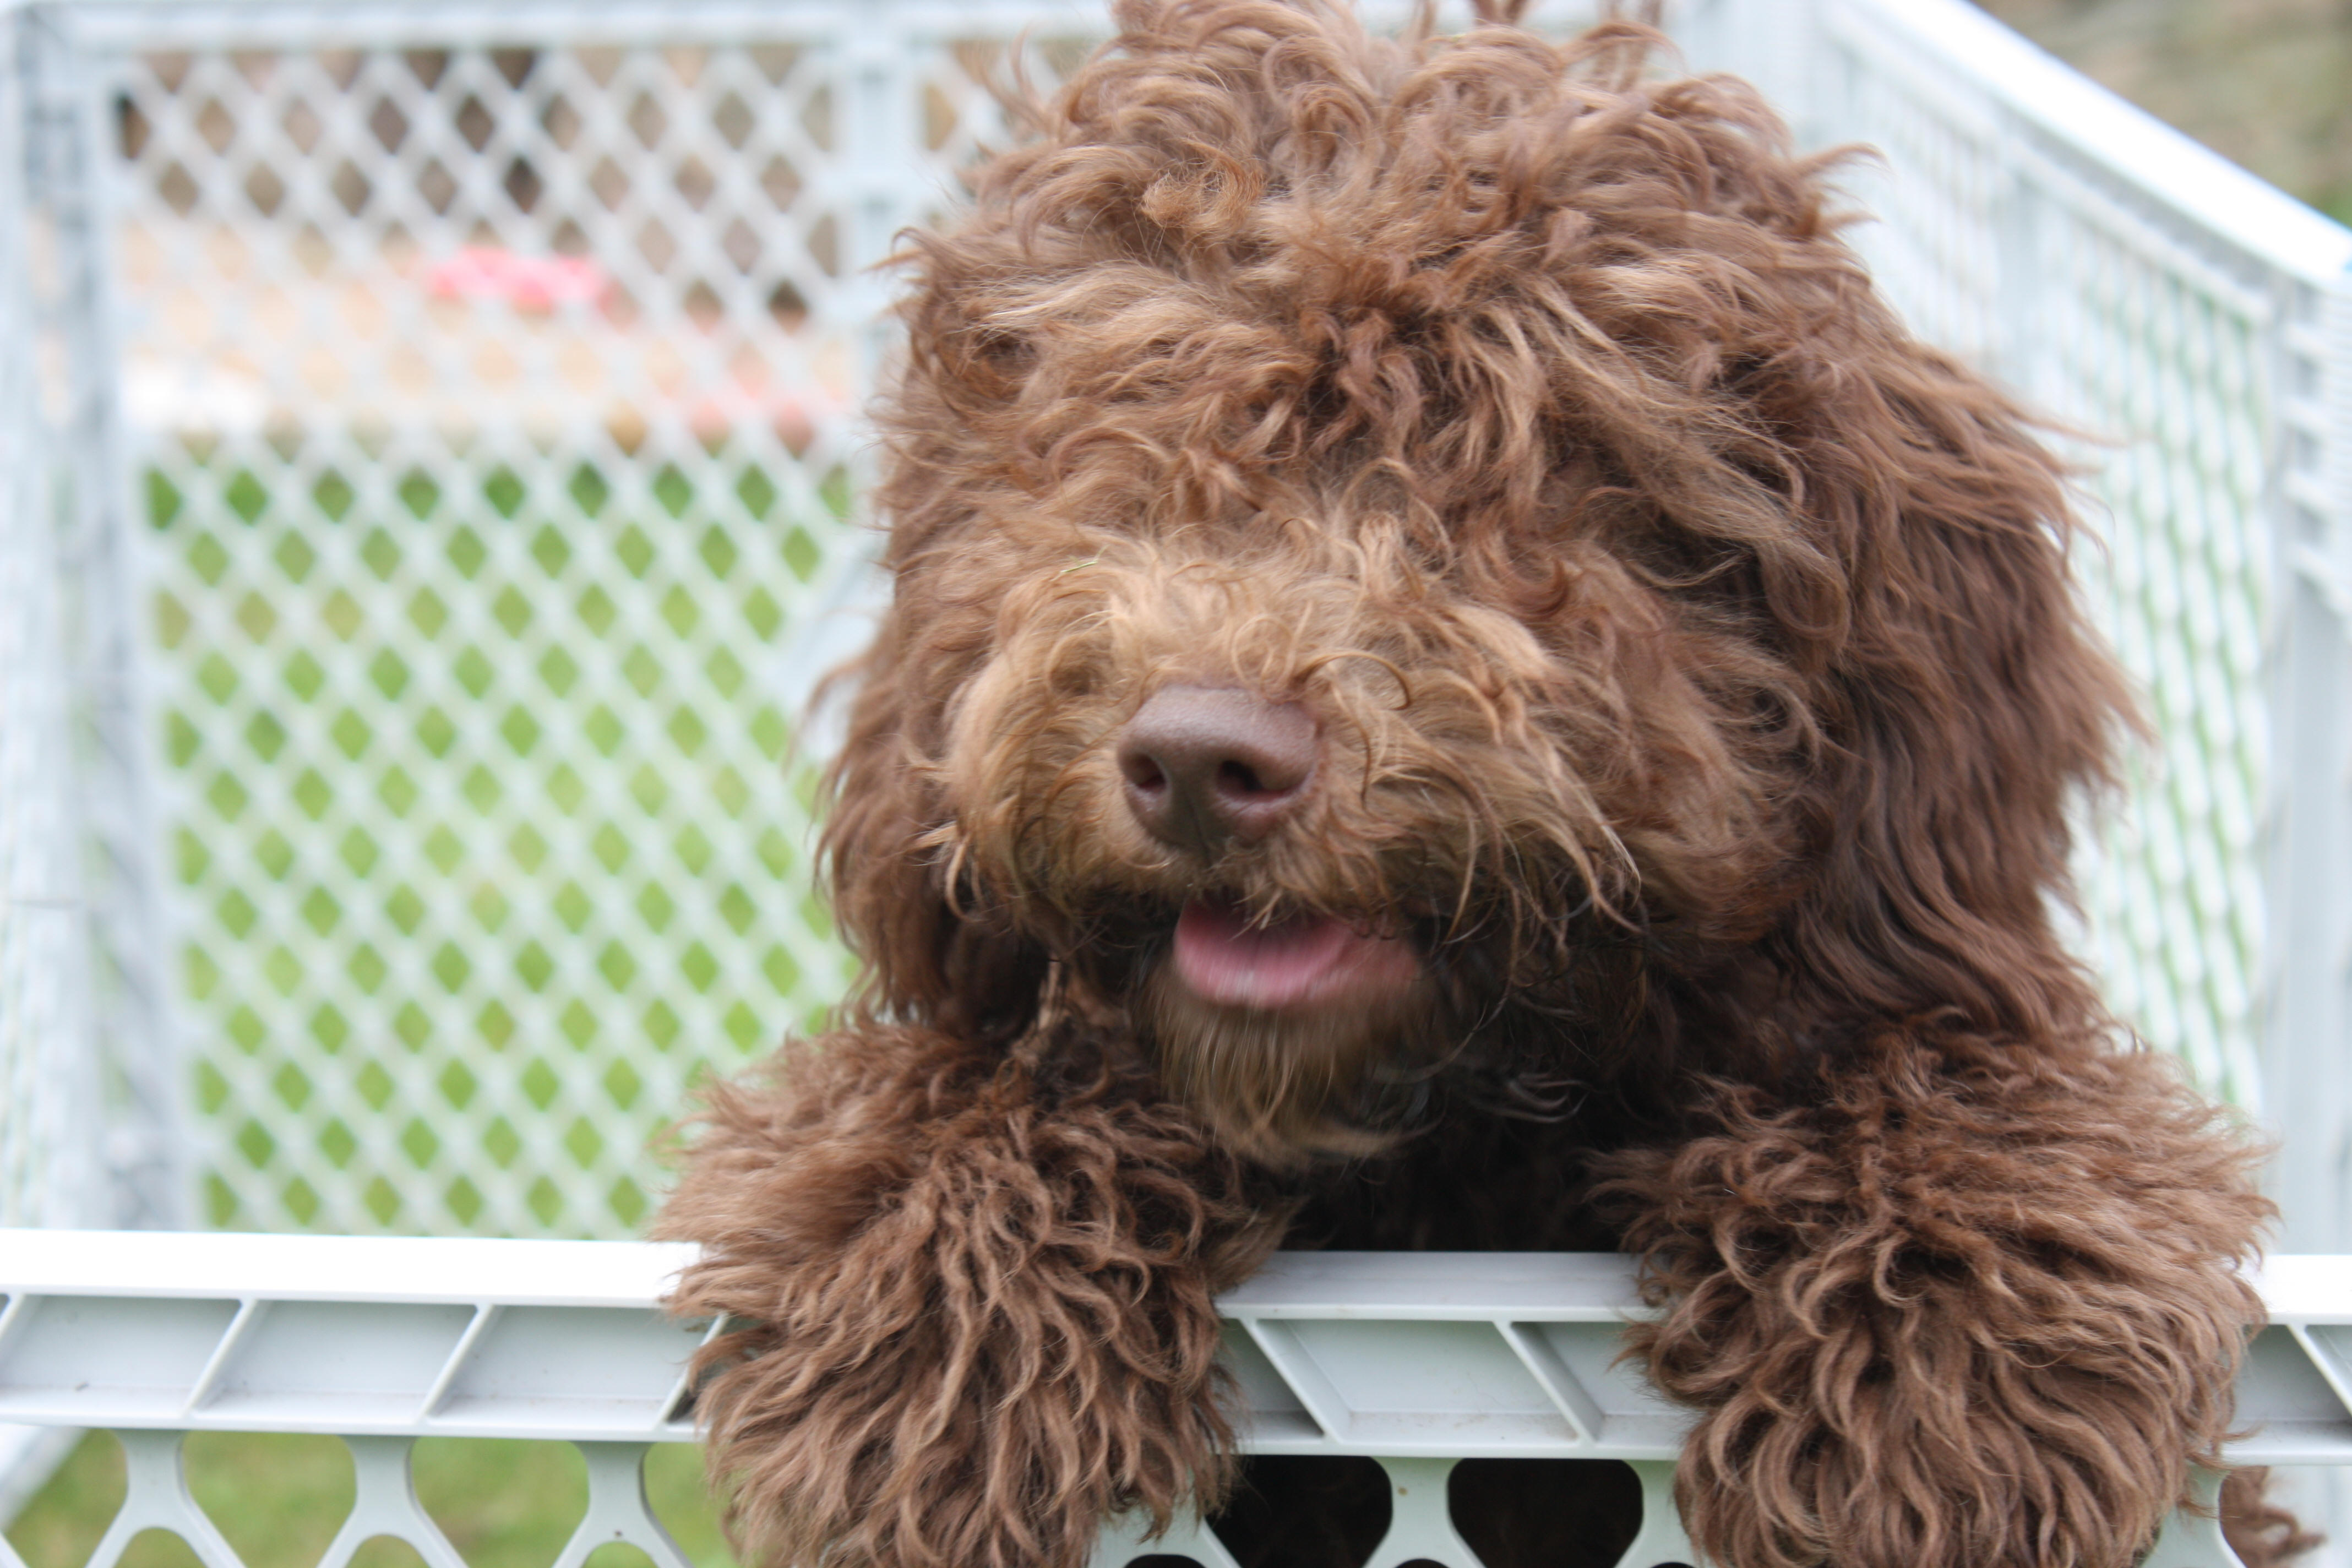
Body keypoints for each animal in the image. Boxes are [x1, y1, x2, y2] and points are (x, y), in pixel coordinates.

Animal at [654, 3, 2305, 1568]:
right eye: (1112, 446)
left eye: (1539, 460)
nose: (1200, 758)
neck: (1445, 1161)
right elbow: (987, 1060)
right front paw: (931, 1287)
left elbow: (1921, 1061)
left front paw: (1954, 1331)